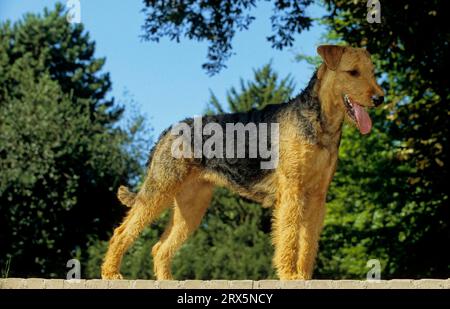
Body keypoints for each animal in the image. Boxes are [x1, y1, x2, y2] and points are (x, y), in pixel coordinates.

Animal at [101, 45, 384, 280]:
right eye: (353, 72)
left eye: (372, 72)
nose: (379, 98)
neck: (321, 125)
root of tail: (169, 130)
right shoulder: (292, 191)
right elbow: (289, 235)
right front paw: (290, 275)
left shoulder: (316, 195)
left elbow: (308, 240)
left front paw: (303, 276)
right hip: (159, 190)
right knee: (121, 233)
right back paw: (111, 274)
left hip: (191, 205)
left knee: (160, 247)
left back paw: (166, 280)